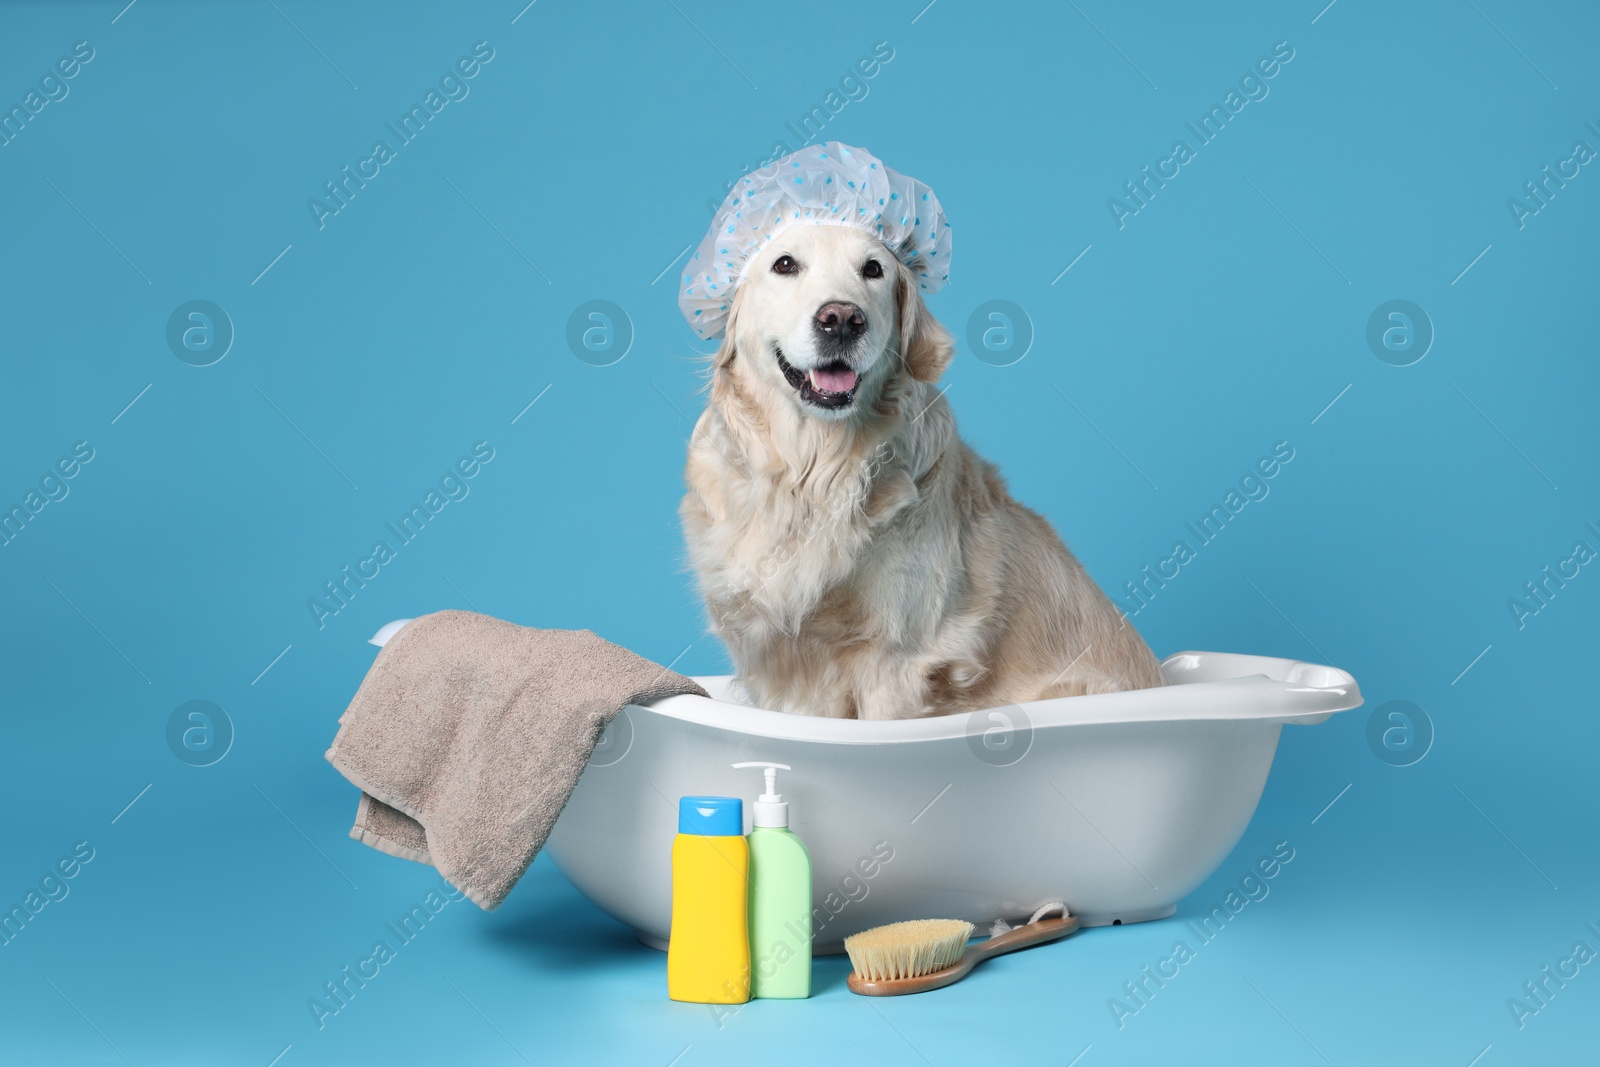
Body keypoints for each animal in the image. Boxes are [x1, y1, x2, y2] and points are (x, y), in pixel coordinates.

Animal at [678, 223, 1164, 716]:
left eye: (873, 269)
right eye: (784, 264)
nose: (842, 319)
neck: (815, 471)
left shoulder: (893, 663)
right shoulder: (775, 670)